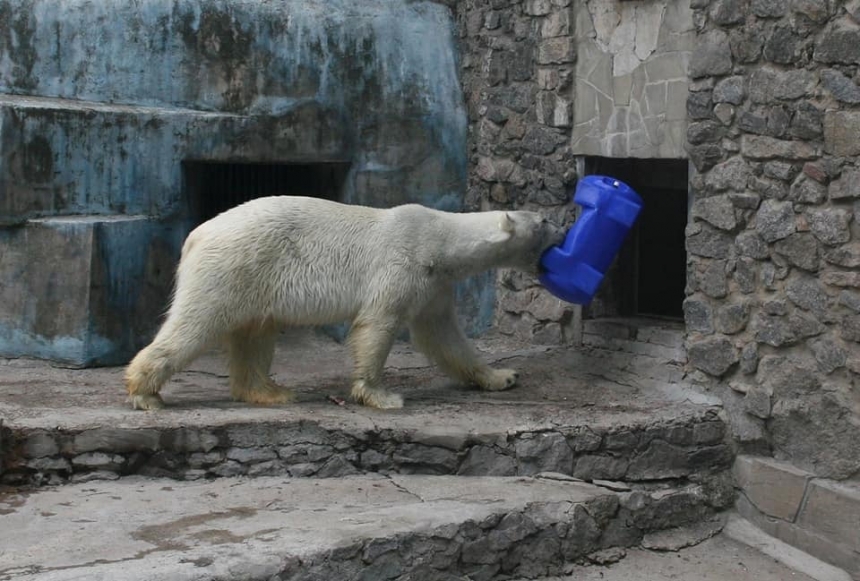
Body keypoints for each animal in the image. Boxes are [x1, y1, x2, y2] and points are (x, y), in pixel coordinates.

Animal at [122, 197, 564, 410]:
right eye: (543, 221)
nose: (562, 228)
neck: (441, 239)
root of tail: (196, 234)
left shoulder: (434, 285)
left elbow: (444, 337)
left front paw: (501, 376)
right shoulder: (402, 263)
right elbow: (378, 324)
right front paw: (381, 396)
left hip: (254, 279)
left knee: (256, 333)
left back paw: (272, 392)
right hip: (233, 266)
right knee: (196, 324)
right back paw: (145, 393)